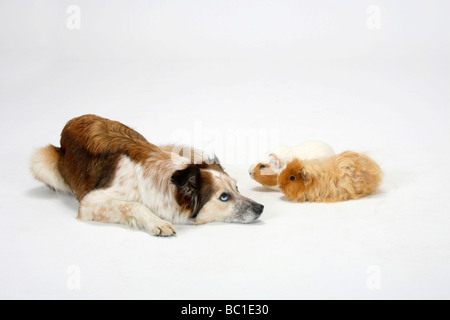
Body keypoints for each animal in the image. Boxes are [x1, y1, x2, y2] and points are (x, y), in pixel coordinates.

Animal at [30, 114, 264, 235]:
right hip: (41, 161)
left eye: (237, 188)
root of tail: (73, 119)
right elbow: (133, 205)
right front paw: (157, 223)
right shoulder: (91, 202)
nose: (260, 208)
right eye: (224, 197)